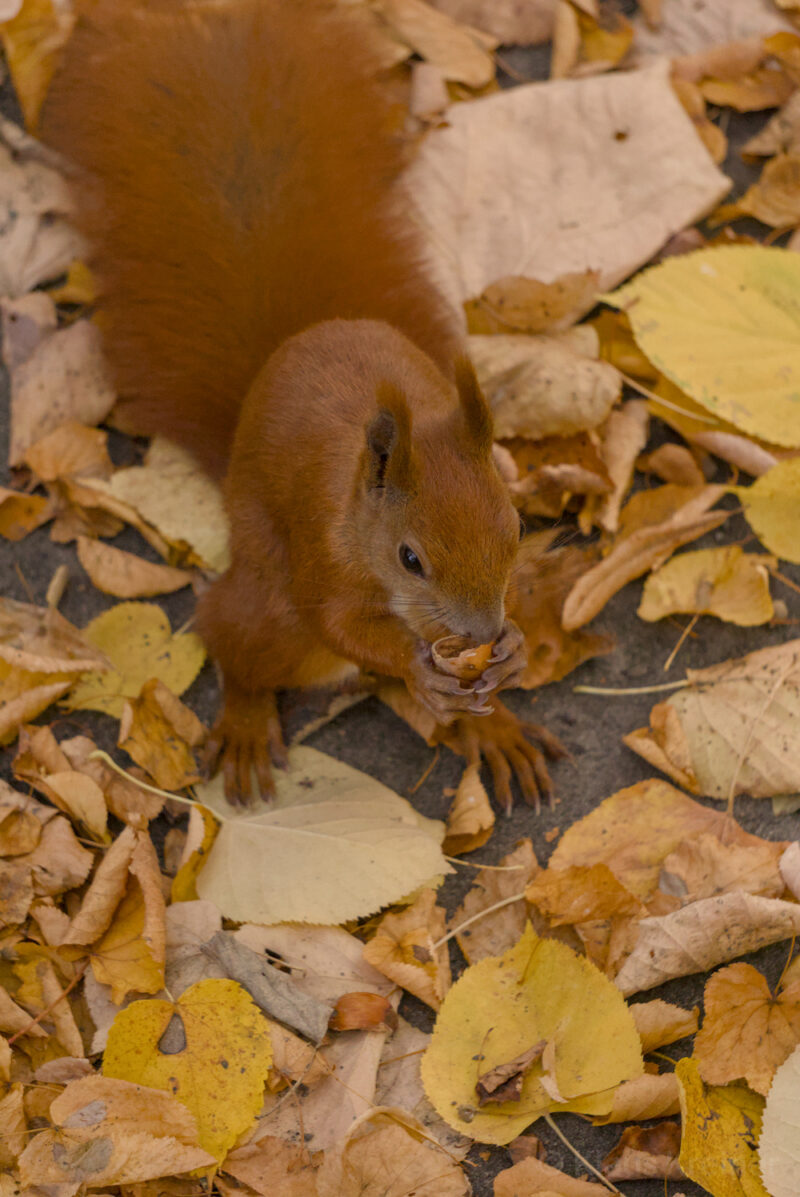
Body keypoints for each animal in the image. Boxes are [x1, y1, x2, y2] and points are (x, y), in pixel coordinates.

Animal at [41, 0, 564, 810]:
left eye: (516, 527)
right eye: (410, 558)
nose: (481, 630)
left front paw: (505, 660)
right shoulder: (321, 545)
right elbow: (339, 621)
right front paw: (417, 665)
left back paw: (495, 728)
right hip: (267, 608)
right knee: (237, 646)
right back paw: (250, 722)